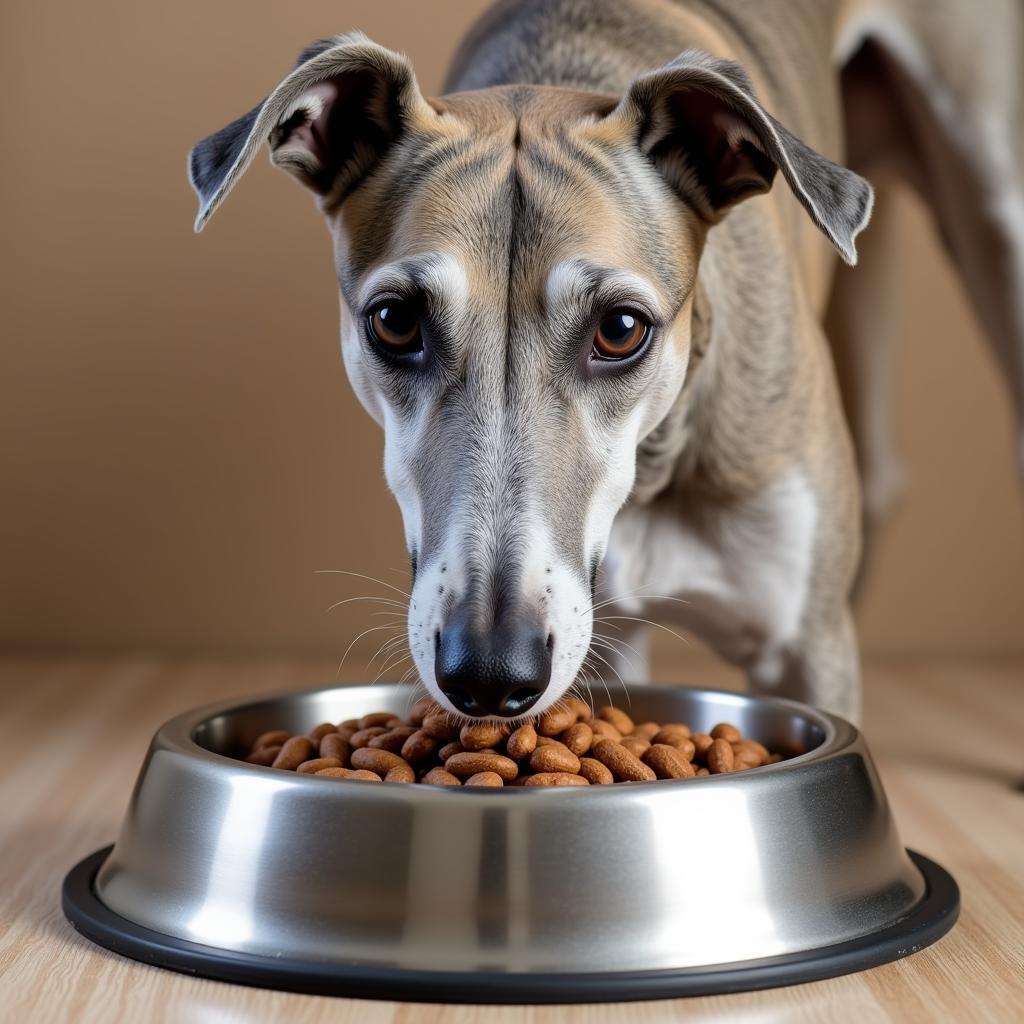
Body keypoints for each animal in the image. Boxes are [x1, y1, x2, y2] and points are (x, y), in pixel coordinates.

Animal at [188, 0, 1019, 724]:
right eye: (394, 322)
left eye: (622, 329)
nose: (490, 674)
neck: (652, 469)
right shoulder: (604, 644)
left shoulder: (804, 652)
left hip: (993, 211)